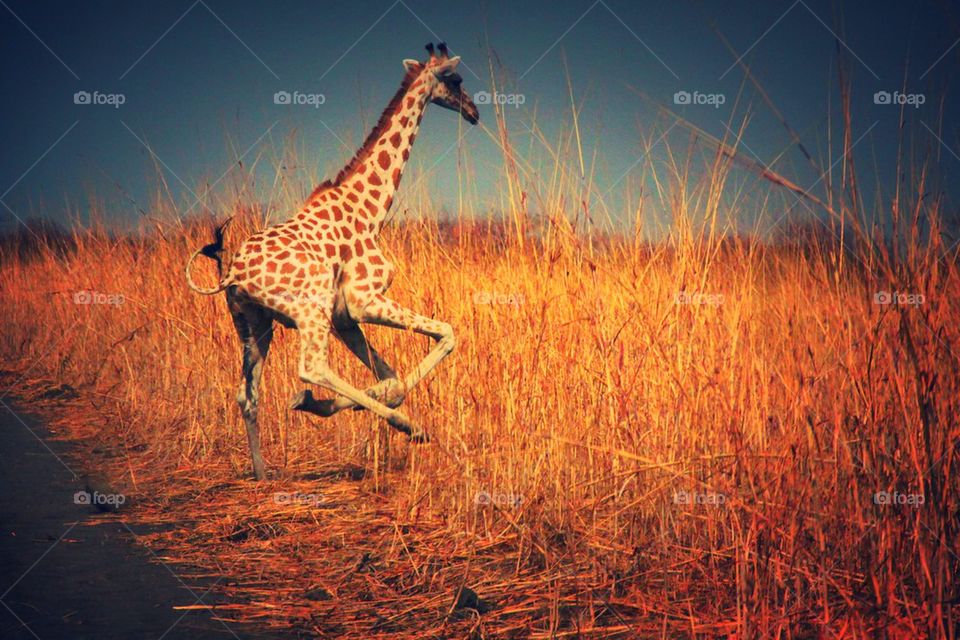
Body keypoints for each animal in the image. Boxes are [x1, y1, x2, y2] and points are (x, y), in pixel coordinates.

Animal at [185, 43, 478, 480]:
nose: (474, 111)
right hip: (309, 309)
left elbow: (392, 380)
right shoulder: (363, 301)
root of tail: (232, 274)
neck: (370, 209)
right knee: (312, 367)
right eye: (455, 79)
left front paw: (378, 401)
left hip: (253, 323)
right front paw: (409, 427)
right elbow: (446, 334)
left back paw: (263, 474)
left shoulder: (343, 318)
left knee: (246, 395)